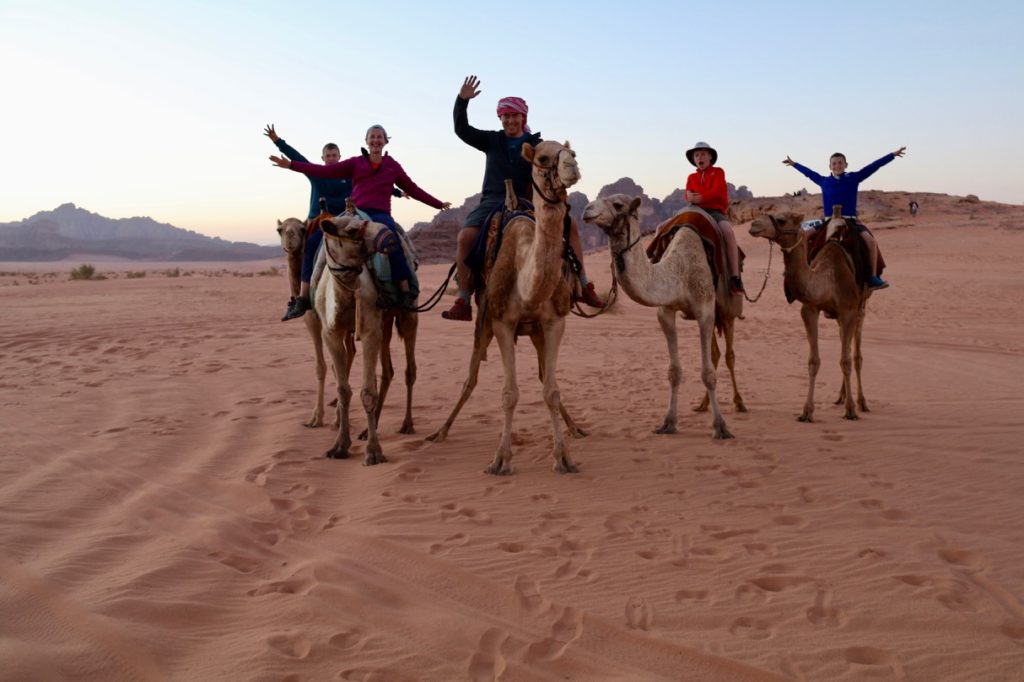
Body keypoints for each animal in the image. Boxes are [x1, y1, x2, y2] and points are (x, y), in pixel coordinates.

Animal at [423, 142, 585, 473]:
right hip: (482, 322)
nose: (572, 166)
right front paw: (500, 459)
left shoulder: (554, 323)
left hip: (535, 333)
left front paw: (563, 457)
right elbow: (509, 394)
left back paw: (575, 427)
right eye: (543, 158)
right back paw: (440, 431)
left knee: (544, 379)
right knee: (470, 379)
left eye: (572, 152)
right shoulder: (501, 323)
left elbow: (551, 390)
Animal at [581, 193, 733, 438]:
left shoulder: (705, 310)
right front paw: (668, 423)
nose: (586, 210)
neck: (680, 272)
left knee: (729, 352)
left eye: (617, 205)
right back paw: (703, 406)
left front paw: (720, 427)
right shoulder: (666, 311)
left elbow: (707, 373)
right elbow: (674, 371)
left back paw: (740, 403)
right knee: (716, 353)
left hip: (727, 307)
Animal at [745, 209, 872, 419]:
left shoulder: (848, 311)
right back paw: (841, 397)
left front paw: (851, 409)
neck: (827, 281)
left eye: (781, 219)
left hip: (860, 308)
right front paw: (806, 412)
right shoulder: (810, 310)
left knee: (856, 355)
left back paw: (861, 402)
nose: (754, 225)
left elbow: (847, 361)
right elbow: (813, 361)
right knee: (844, 346)